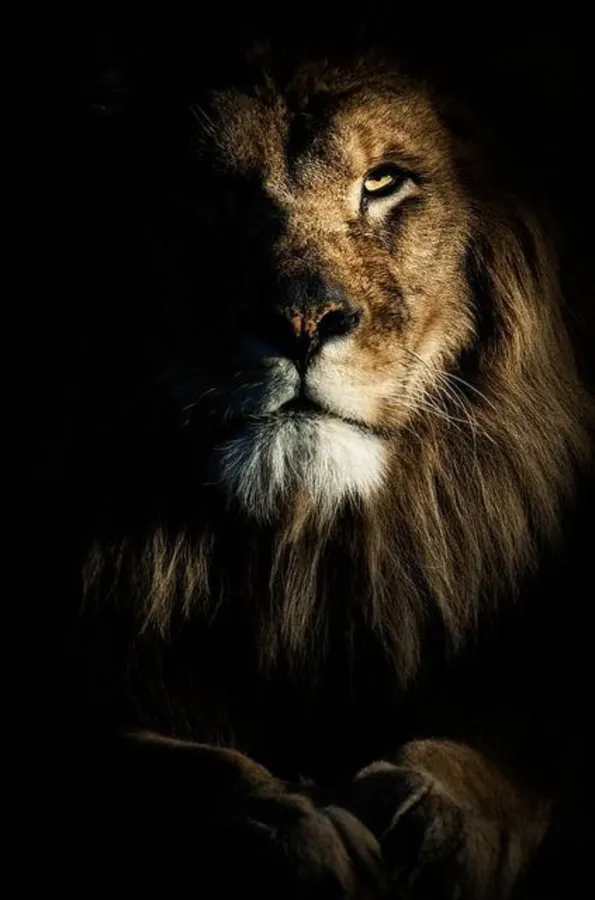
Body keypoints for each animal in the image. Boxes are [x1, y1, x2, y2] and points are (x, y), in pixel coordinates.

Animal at [12, 42, 595, 900]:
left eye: (383, 182)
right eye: (205, 192)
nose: (301, 320)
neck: (303, 557)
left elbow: (508, 742)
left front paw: (440, 813)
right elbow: (165, 765)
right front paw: (287, 829)